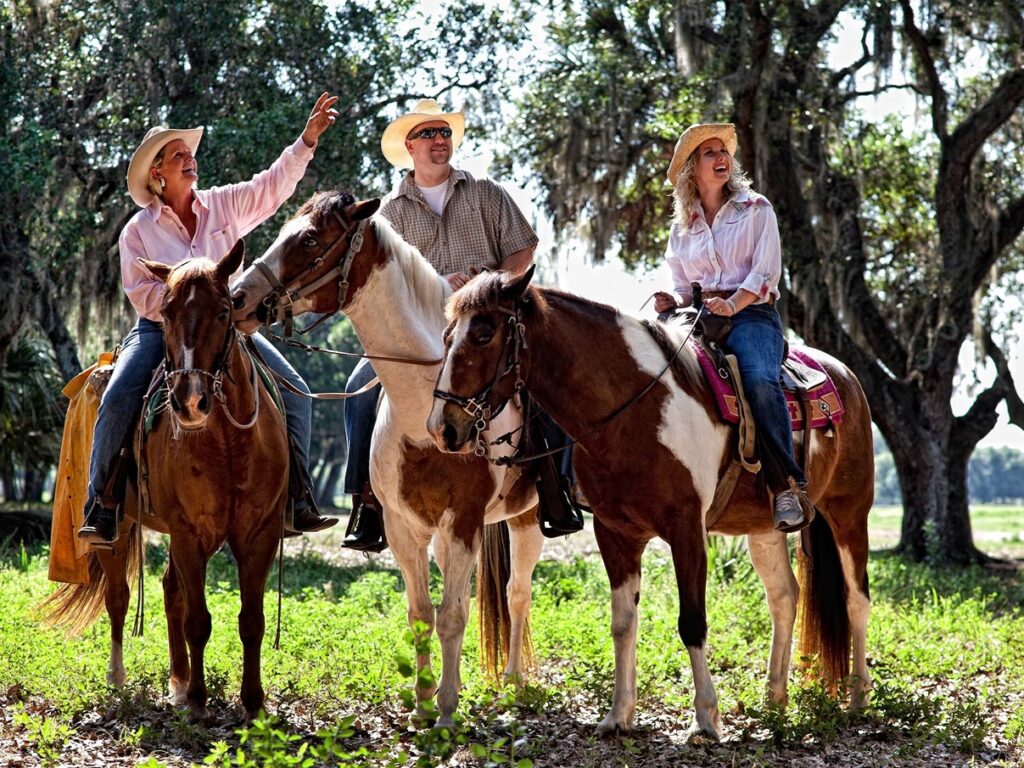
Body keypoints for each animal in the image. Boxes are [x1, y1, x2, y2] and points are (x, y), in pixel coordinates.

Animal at [44, 244, 290, 720]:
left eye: (224, 310)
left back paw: (177, 681)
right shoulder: (188, 532)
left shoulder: (259, 534)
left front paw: (252, 704)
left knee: (170, 590)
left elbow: (251, 620)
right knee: (119, 598)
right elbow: (198, 620)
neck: (227, 441)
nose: (189, 402)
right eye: (166, 311)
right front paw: (197, 702)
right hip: (121, 529)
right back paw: (120, 678)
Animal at [229, 191, 548, 729]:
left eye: (309, 239)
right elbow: (422, 614)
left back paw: (512, 683)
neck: (426, 409)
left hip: (526, 518)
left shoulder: (462, 522)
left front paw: (447, 711)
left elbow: (453, 615)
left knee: (517, 593)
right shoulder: (404, 527)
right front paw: (423, 705)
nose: (236, 298)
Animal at [428, 268, 876, 741]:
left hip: (849, 513)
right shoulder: (615, 533)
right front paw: (618, 714)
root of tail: (845, 376)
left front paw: (705, 718)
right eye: (446, 336)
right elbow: (623, 623)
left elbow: (692, 621)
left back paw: (858, 698)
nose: (443, 428)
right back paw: (774, 698)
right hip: (764, 529)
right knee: (784, 597)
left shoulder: (686, 528)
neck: (634, 407)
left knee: (855, 599)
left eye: (483, 333)